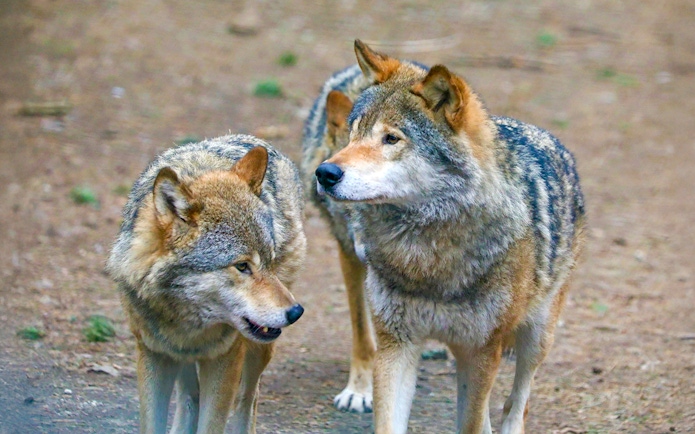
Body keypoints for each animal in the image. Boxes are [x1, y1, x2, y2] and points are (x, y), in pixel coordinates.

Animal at [107, 135, 306, 434]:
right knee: (191, 397)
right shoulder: (153, 353)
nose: (296, 312)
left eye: (269, 260)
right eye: (242, 266)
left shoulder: (226, 357)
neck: (185, 320)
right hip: (183, 359)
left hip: (258, 350)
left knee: (248, 400)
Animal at [301, 40, 586, 434]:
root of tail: (550, 139)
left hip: (537, 336)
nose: (325, 173)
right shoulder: (397, 343)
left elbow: (476, 419)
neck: (425, 254)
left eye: (391, 138)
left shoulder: (482, 350)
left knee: (518, 402)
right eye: (354, 132)